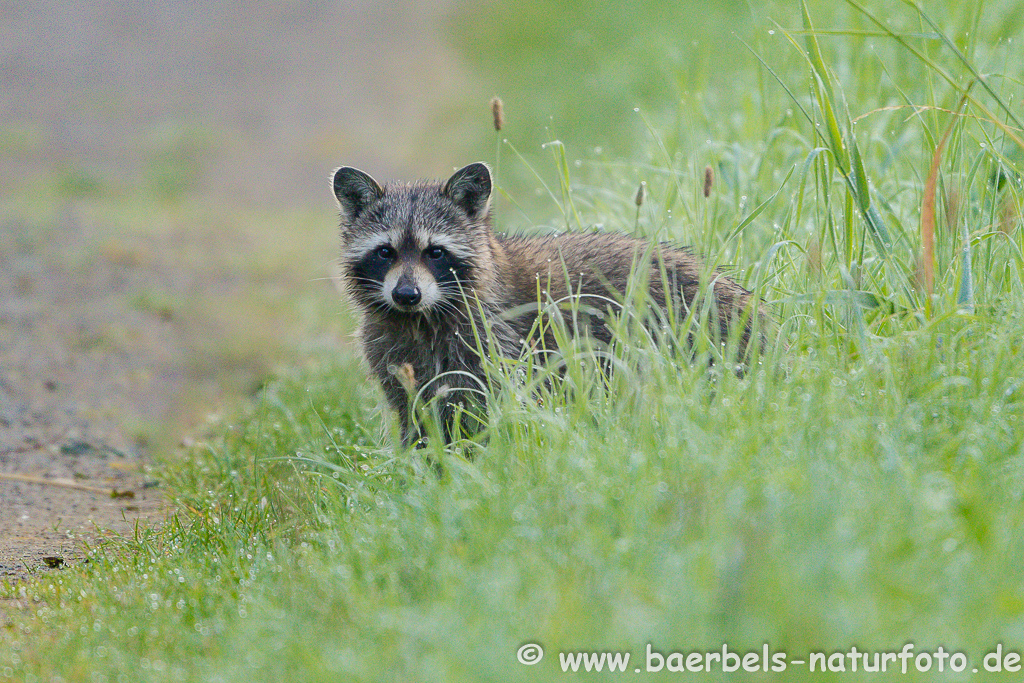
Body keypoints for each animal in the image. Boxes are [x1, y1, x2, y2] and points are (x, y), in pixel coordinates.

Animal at [331, 162, 765, 446]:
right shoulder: (390, 352)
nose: (406, 294)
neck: (421, 318)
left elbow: (487, 409)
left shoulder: (495, 338)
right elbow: (416, 417)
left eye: (435, 252)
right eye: (385, 252)